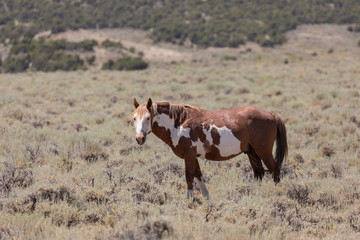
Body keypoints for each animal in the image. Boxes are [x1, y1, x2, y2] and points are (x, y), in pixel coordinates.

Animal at [131, 97, 286, 199]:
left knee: (275, 170)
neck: (179, 123)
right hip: (252, 152)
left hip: (264, 152)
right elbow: (198, 175)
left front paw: (190, 199)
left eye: (148, 117)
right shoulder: (193, 156)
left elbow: (189, 176)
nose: (140, 138)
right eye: (134, 118)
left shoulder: (189, 155)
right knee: (259, 173)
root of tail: (271, 114)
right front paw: (206, 197)